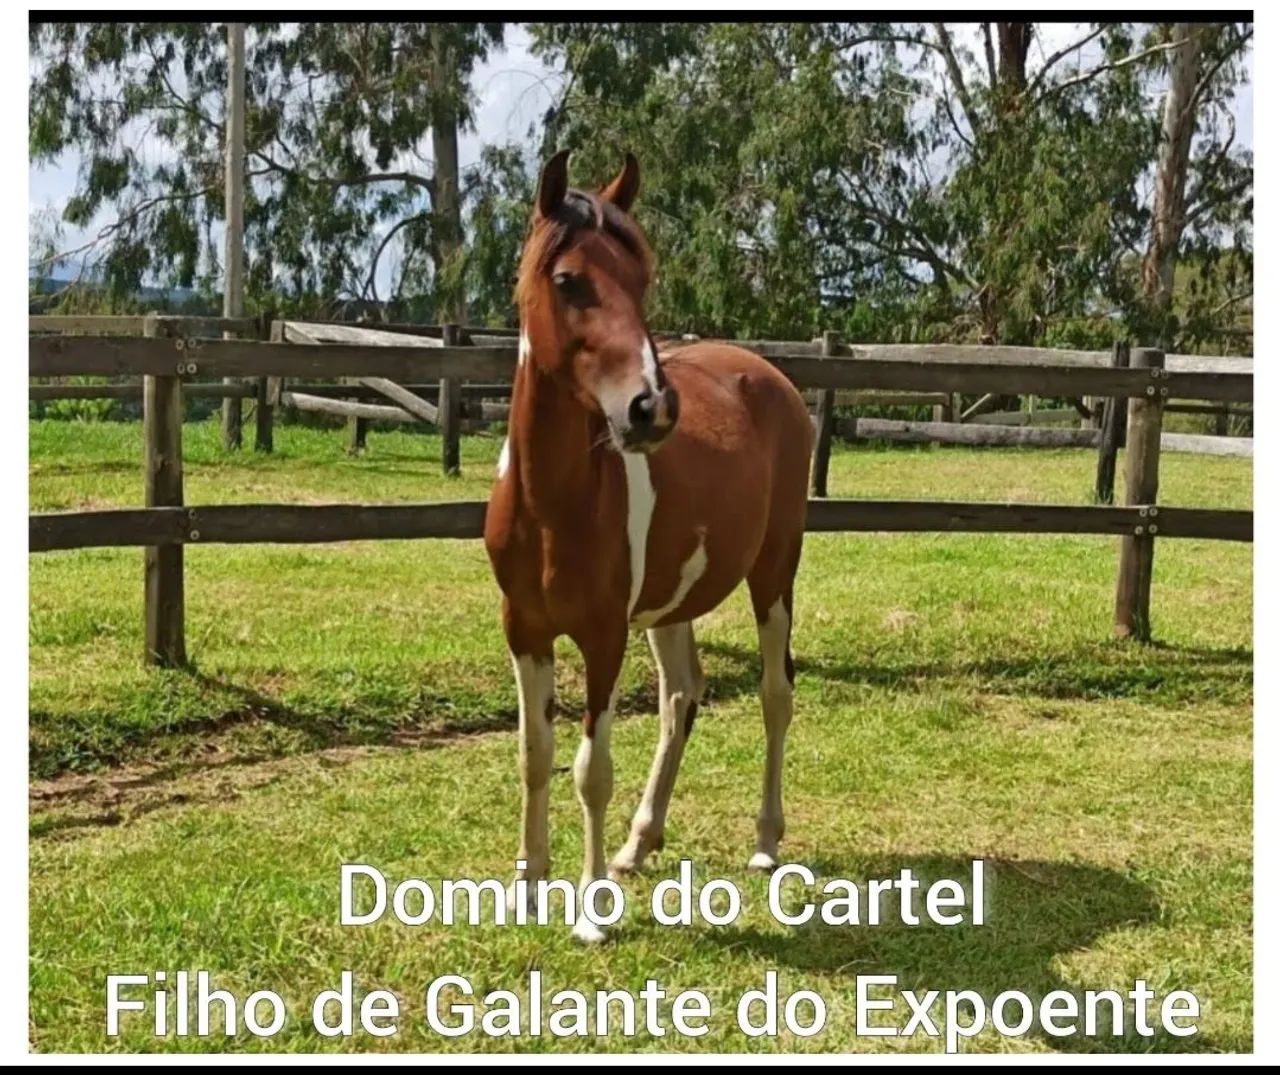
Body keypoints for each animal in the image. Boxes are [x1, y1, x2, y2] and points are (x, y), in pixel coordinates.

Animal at [483, 149, 814, 943]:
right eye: (569, 280)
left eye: (642, 278)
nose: (652, 407)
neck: (553, 503)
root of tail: (772, 378)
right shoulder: (524, 629)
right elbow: (534, 755)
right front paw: (528, 888)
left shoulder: (603, 635)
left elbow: (589, 768)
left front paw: (590, 910)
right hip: (670, 606)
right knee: (681, 697)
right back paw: (639, 842)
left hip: (774, 571)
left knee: (774, 693)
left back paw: (765, 841)